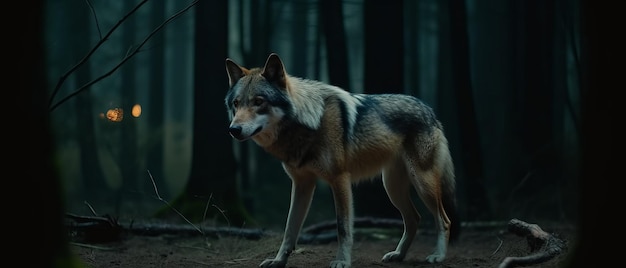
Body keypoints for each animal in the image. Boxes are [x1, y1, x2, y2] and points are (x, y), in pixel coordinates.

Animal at [224, 52, 458, 268]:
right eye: (236, 103)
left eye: (258, 102)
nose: (234, 130)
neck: (308, 123)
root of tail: (429, 109)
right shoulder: (302, 184)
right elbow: (290, 229)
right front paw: (278, 261)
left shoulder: (340, 180)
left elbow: (343, 228)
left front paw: (342, 261)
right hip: (392, 188)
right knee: (414, 219)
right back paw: (398, 255)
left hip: (422, 183)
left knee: (444, 220)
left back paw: (437, 256)